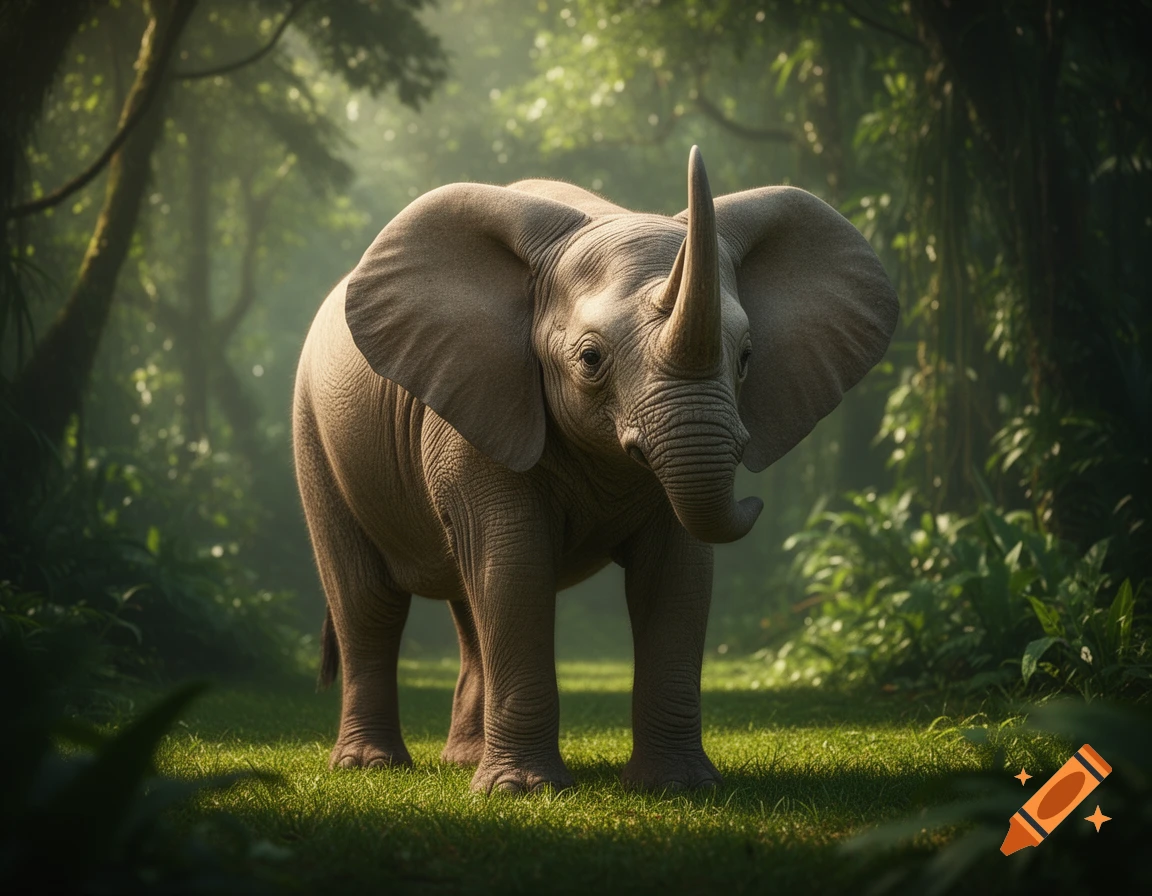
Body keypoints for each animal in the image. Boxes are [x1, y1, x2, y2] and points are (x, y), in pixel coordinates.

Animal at [292, 146, 898, 794]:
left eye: (746, 357)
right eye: (590, 359)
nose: (755, 502)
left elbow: (677, 575)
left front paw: (678, 788)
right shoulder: (477, 408)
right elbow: (514, 563)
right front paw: (524, 793)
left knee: (465, 601)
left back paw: (460, 761)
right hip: (313, 430)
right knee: (368, 600)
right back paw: (371, 766)